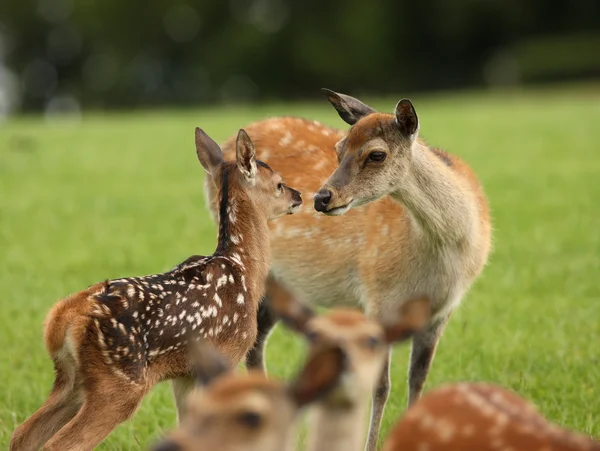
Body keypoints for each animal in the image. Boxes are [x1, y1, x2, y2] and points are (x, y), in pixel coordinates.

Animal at [11, 128, 304, 451]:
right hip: (119, 381)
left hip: (70, 378)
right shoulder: (227, 353)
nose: (299, 195)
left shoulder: (184, 373)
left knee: (22, 434)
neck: (243, 269)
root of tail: (65, 314)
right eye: (279, 184)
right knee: (61, 443)